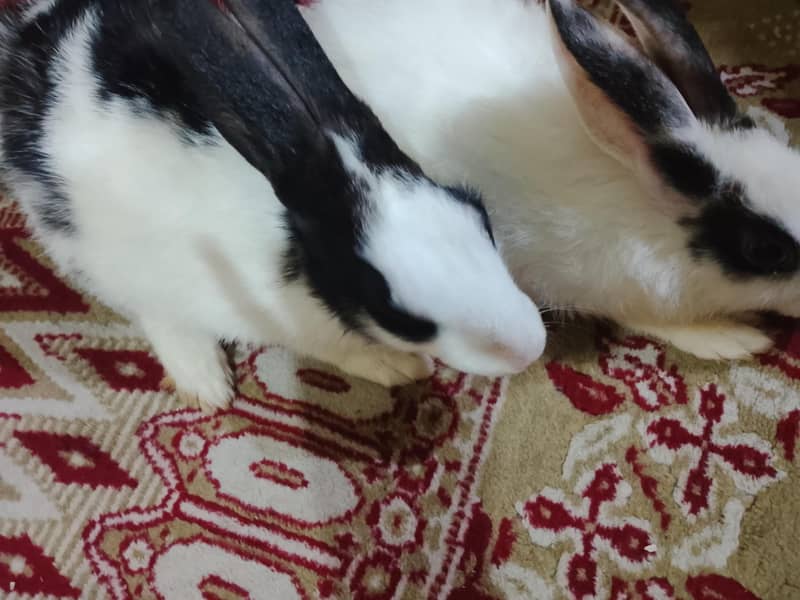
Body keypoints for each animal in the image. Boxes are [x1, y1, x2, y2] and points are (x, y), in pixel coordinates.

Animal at [0, 0, 547, 412]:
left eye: (482, 221)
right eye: (397, 315)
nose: (531, 347)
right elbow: (338, 345)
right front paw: (397, 366)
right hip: (94, 247)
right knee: (153, 309)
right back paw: (205, 382)